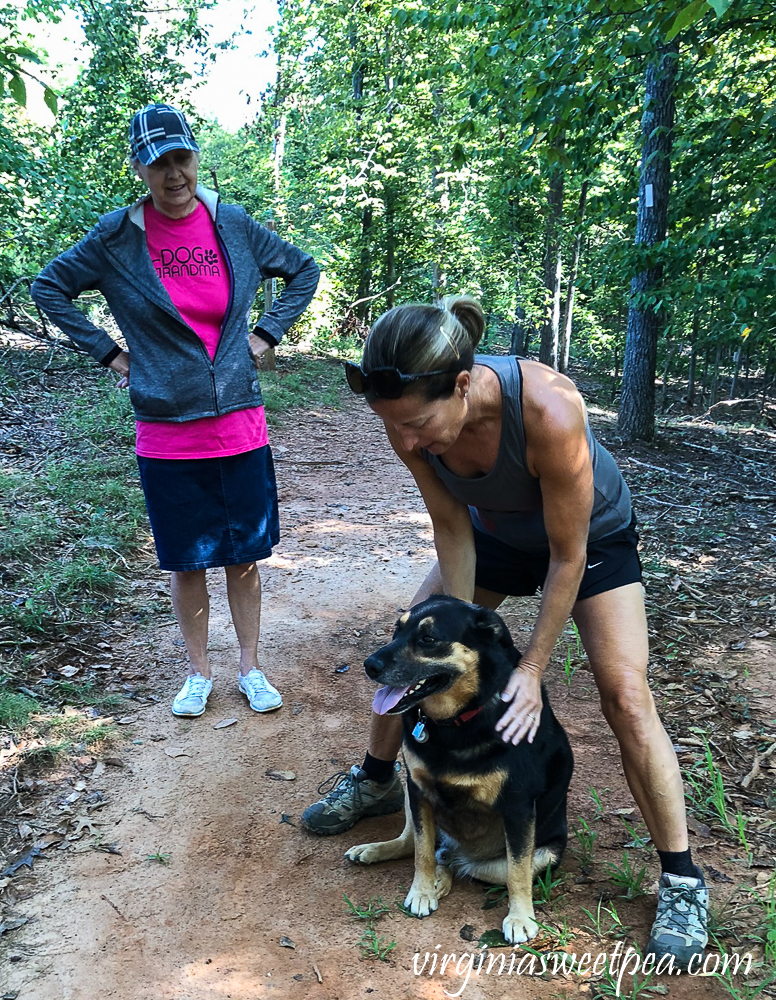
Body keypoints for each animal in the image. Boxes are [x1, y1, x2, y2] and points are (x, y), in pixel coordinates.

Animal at [348, 592, 572, 944]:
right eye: (396, 630)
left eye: (428, 639)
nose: (370, 665)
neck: (455, 721)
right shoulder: (418, 789)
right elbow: (421, 852)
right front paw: (421, 891)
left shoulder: (519, 807)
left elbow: (518, 872)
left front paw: (520, 918)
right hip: (413, 798)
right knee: (417, 844)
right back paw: (377, 852)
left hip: (539, 855)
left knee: (464, 864)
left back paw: (444, 878)